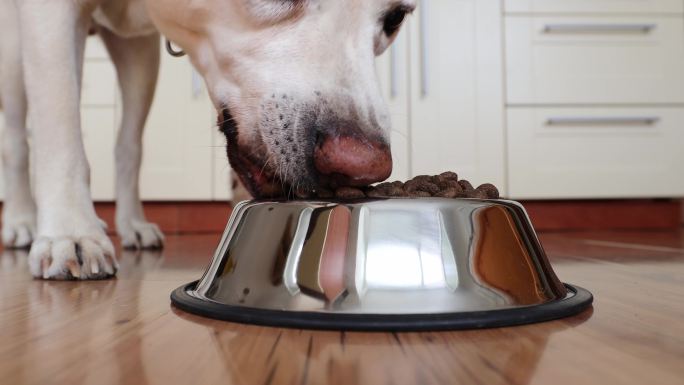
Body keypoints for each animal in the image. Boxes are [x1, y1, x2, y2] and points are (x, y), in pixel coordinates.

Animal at [0, 0, 416, 280]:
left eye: (396, 16)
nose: (360, 166)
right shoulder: (46, 18)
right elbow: (60, 128)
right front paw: (71, 233)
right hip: (14, 53)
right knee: (19, 142)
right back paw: (21, 222)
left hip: (138, 56)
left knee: (128, 147)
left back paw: (132, 223)